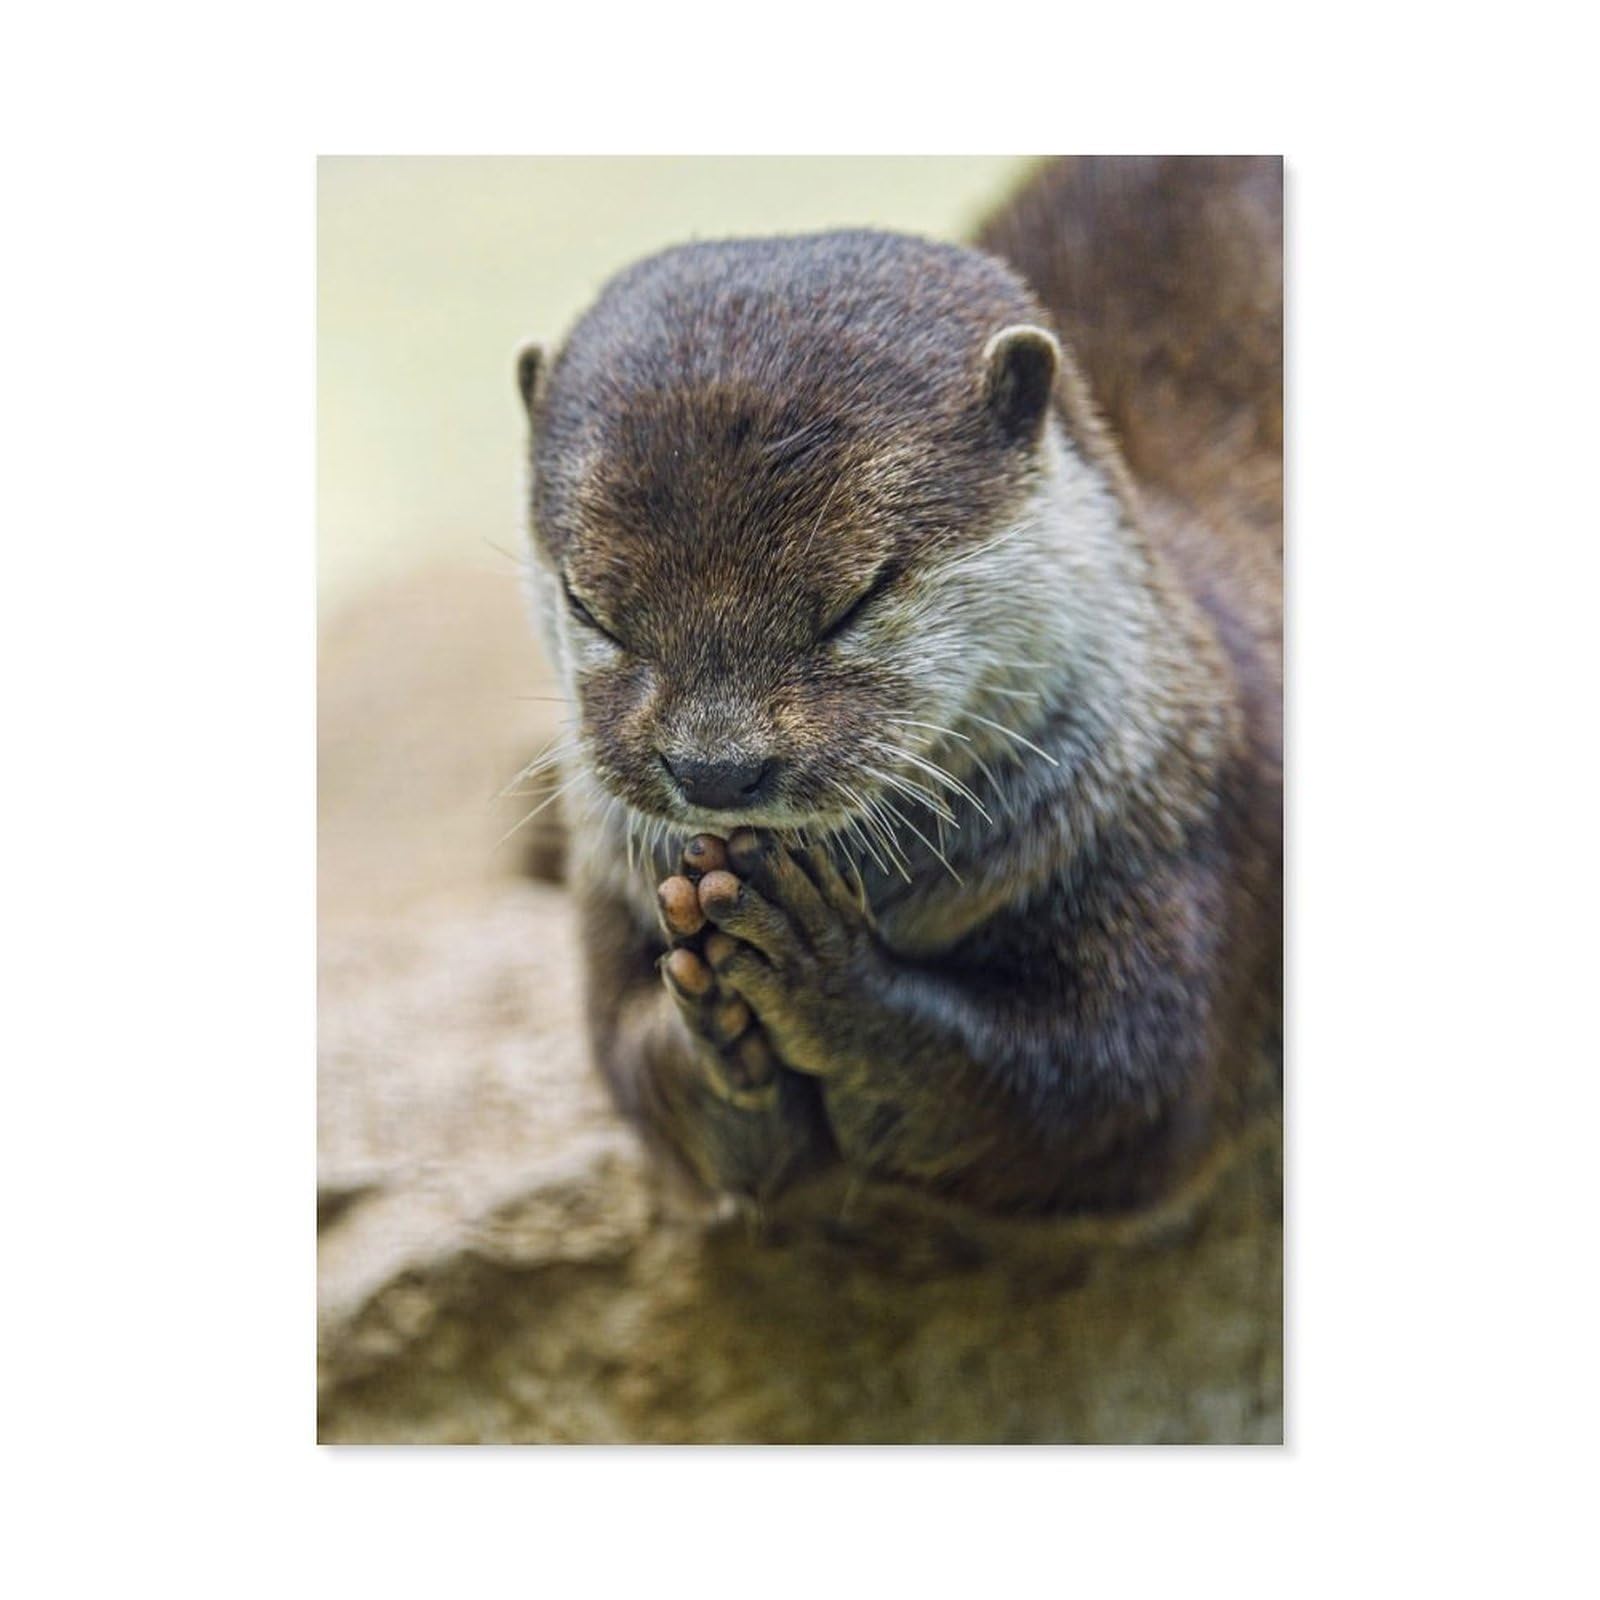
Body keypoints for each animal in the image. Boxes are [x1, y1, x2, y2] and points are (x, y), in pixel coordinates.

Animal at [514, 156, 1282, 1216]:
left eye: (855, 598)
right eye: (590, 607)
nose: (715, 769)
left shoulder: (1184, 840)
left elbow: (1112, 1092)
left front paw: (821, 973)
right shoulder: (609, 891)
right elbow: (643, 1075)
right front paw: (713, 1024)